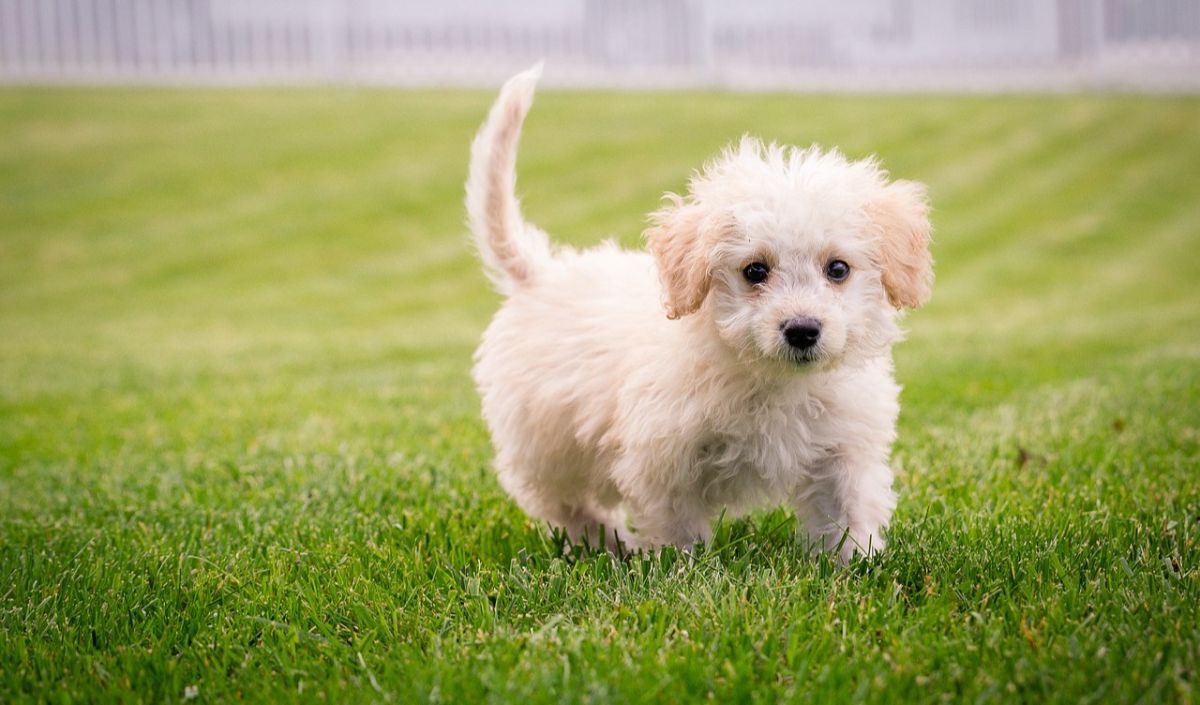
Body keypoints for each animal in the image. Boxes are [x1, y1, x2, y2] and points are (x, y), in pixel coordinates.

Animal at [463, 64, 931, 561]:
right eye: (755, 270)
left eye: (838, 269)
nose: (803, 330)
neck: (771, 380)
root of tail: (542, 272)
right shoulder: (663, 460)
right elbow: (678, 529)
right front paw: (683, 568)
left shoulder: (844, 450)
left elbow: (848, 513)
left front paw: (858, 563)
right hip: (546, 446)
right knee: (568, 505)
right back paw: (612, 545)